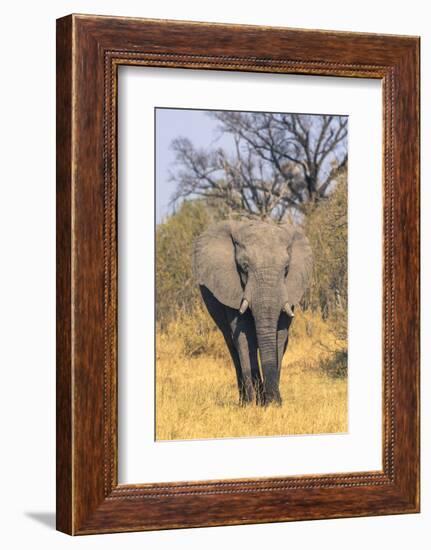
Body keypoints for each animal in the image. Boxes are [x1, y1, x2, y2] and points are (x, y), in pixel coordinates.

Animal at [194, 222, 312, 408]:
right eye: (244, 266)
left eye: (286, 268)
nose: (272, 400)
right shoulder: (232, 288)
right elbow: (244, 336)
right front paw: (253, 405)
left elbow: (280, 336)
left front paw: (272, 404)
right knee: (233, 347)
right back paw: (244, 402)